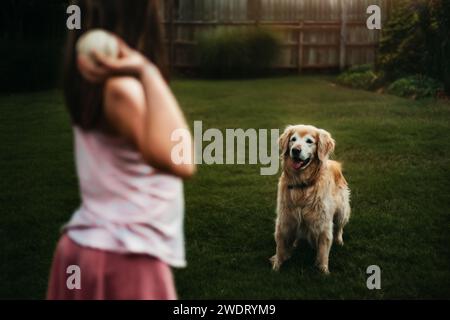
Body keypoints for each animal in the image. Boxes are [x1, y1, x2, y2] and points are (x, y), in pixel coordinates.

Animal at [268, 124, 350, 274]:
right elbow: (281, 245)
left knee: (339, 227)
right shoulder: (285, 218)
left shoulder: (323, 221)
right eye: (293, 139)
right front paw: (277, 265)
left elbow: (323, 249)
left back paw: (339, 240)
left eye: (309, 141)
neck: (302, 185)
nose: (295, 150)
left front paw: (323, 270)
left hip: (342, 210)